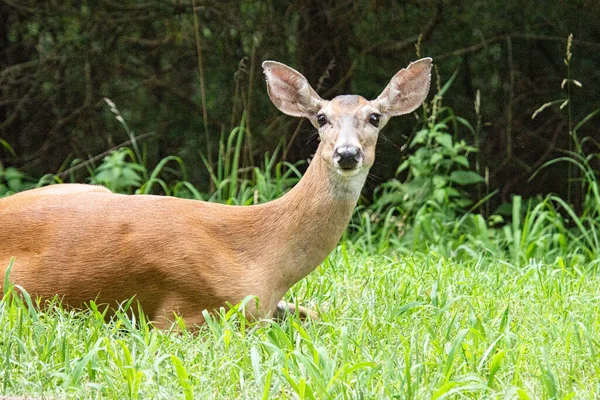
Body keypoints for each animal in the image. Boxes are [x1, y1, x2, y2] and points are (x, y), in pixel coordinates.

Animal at [0, 57, 432, 330]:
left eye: (374, 117)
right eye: (321, 118)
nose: (346, 153)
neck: (265, 261)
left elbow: (320, 314)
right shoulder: (187, 314)